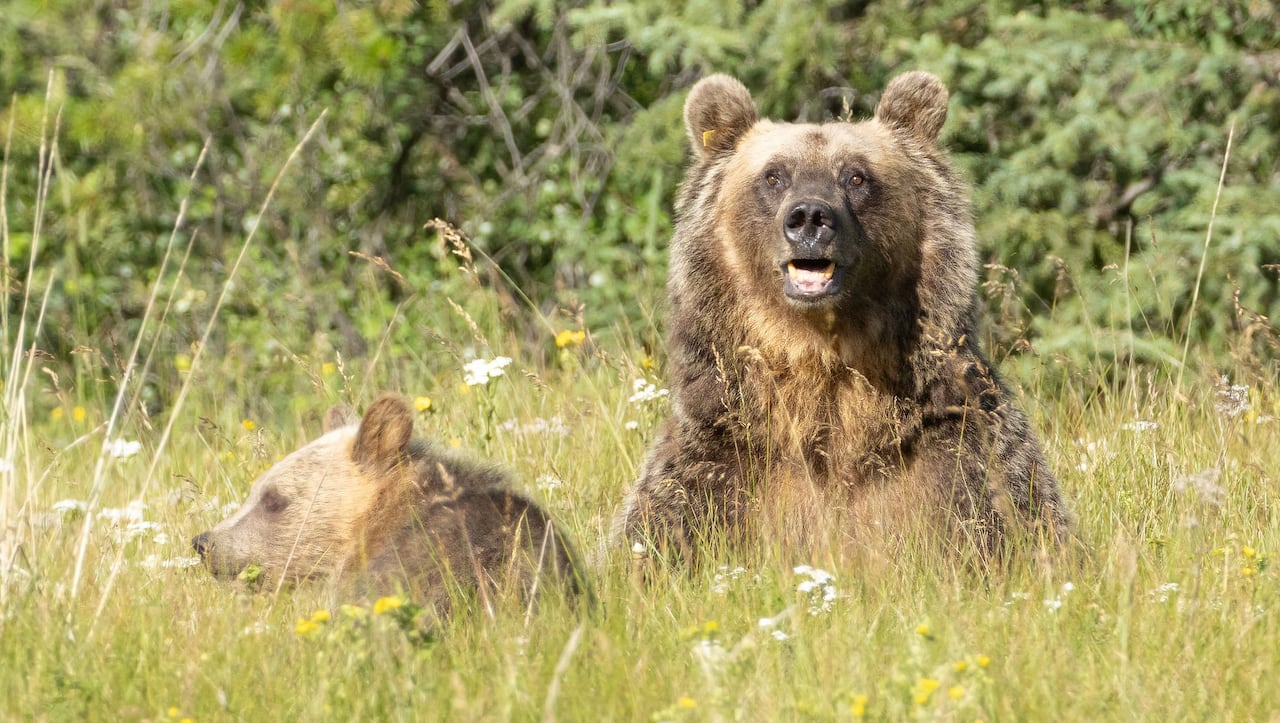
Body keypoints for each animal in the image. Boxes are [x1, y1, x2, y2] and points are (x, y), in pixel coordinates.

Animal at [615, 71, 1071, 566]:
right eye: (774, 175)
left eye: (856, 175)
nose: (810, 217)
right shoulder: (720, 451)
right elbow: (658, 533)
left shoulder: (955, 446)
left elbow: (1014, 521)